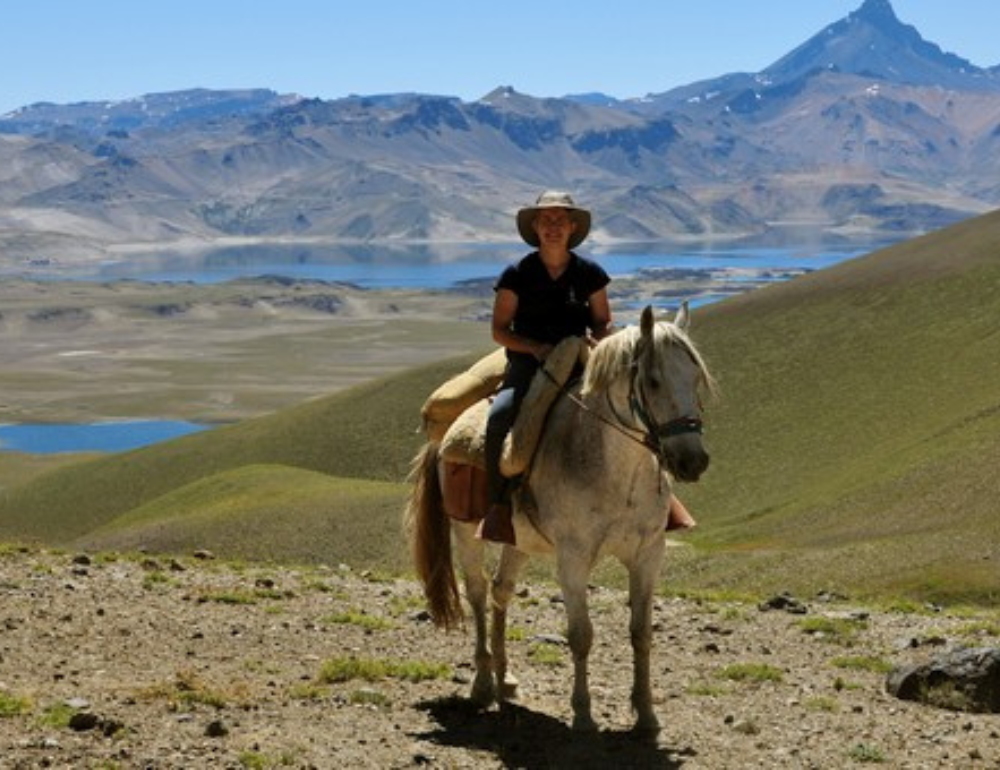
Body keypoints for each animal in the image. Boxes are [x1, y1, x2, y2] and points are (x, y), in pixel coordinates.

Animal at [402, 302, 716, 732]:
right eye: (652, 382)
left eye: (696, 379)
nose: (692, 461)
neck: (615, 474)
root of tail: (446, 434)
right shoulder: (573, 559)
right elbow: (581, 635)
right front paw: (583, 714)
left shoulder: (648, 555)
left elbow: (641, 633)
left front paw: (647, 715)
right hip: (465, 531)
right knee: (479, 592)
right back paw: (482, 684)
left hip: (517, 539)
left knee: (501, 590)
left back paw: (506, 678)